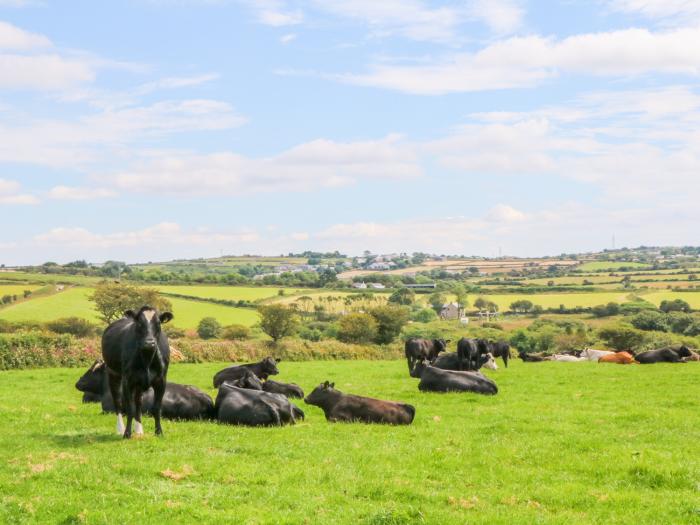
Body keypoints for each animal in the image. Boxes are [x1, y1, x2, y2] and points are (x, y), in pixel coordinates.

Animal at [100, 304, 173, 436]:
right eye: (139, 323)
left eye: (158, 323)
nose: (149, 342)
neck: (147, 358)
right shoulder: (127, 381)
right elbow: (130, 408)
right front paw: (127, 433)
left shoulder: (161, 380)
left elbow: (156, 408)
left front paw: (159, 432)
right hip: (113, 373)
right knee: (118, 402)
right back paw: (120, 429)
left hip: (139, 382)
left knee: (138, 402)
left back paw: (139, 430)